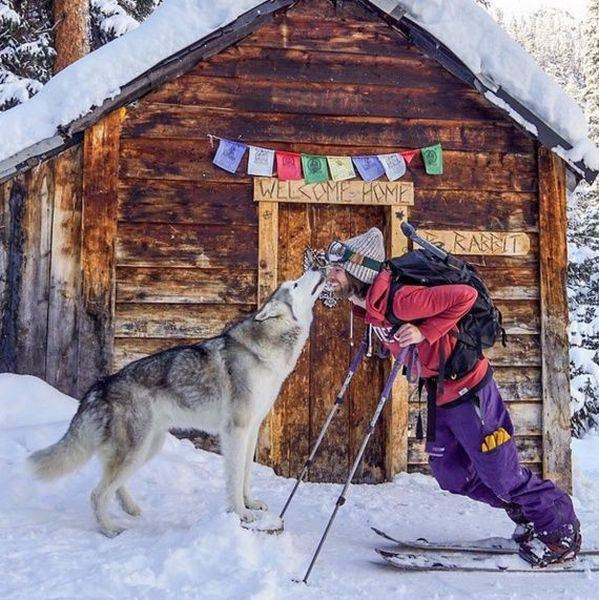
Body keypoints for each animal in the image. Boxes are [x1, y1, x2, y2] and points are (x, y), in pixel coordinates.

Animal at [30, 270, 326, 536]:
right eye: (296, 283)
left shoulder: (251, 430)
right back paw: (111, 529)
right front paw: (241, 513)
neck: (267, 350)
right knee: (97, 493)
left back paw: (130, 509)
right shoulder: (235, 431)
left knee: (113, 485)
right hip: (137, 449)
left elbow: (245, 476)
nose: (319, 267)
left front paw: (250, 504)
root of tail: (101, 384)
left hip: (148, 447)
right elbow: (234, 479)